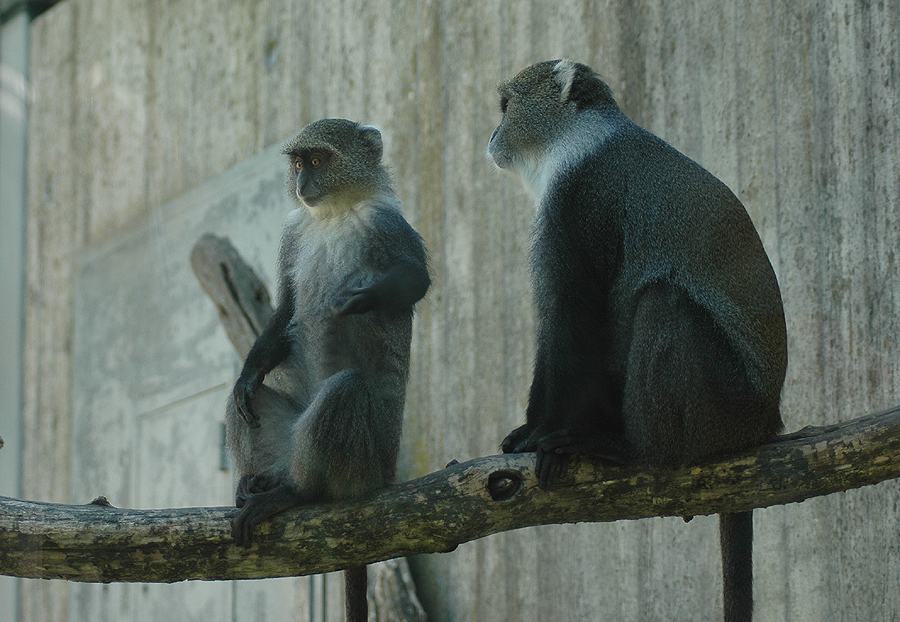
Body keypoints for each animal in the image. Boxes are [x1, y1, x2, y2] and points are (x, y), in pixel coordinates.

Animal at [229, 118, 432, 622]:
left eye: (319, 160)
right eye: (299, 163)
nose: (303, 183)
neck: (334, 213)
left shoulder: (389, 225)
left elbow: (414, 281)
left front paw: (360, 299)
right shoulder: (292, 231)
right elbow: (285, 306)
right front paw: (249, 372)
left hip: (364, 459)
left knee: (345, 390)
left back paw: (297, 493)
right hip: (286, 440)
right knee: (247, 402)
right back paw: (255, 481)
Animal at [488, 59, 784, 622]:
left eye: (505, 106)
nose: (491, 136)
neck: (578, 137)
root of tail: (766, 420)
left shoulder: (577, 202)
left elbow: (574, 319)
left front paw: (541, 432)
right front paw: (527, 431)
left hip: (726, 401)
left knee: (664, 302)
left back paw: (632, 450)